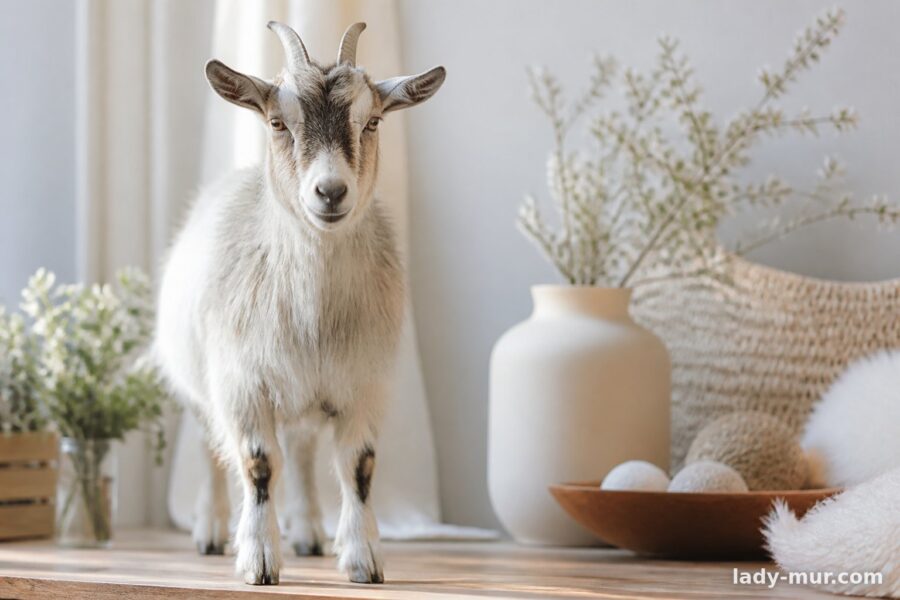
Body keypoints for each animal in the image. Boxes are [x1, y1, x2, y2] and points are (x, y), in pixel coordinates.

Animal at [154, 21, 445, 585]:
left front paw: (363, 558)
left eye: (372, 120)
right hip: (200, 384)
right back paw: (210, 530)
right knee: (209, 446)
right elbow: (258, 464)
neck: (314, 310)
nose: (330, 192)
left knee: (305, 451)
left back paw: (309, 531)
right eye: (276, 122)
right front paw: (259, 560)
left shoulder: (362, 384)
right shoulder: (241, 384)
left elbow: (358, 467)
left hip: (306, 389)